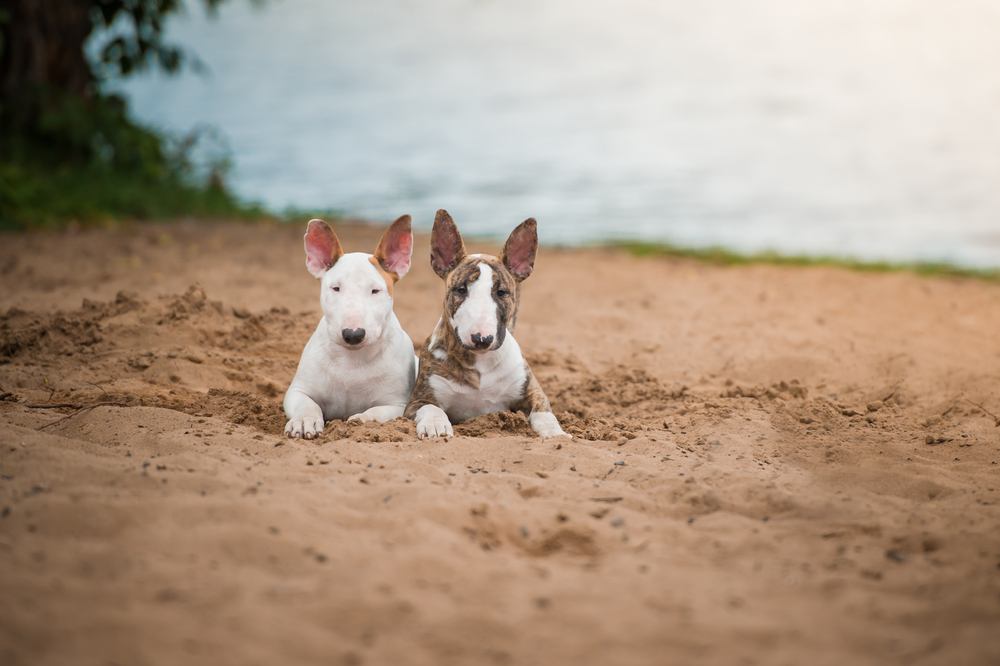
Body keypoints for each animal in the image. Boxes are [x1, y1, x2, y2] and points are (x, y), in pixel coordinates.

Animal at [284, 215, 416, 438]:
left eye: (375, 290)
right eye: (336, 288)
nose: (353, 334)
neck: (351, 360)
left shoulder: (397, 404)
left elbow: (375, 412)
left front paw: (360, 419)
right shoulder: (297, 391)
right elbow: (308, 404)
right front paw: (303, 421)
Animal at [402, 208, 568, 436]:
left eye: (501, 292)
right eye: (460, 289)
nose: (482, 339)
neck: (481, 363)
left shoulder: (532, 389)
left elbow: (543, 411)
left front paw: (555, 433)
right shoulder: (417, 401)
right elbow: (431, 407)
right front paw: (436, 425)